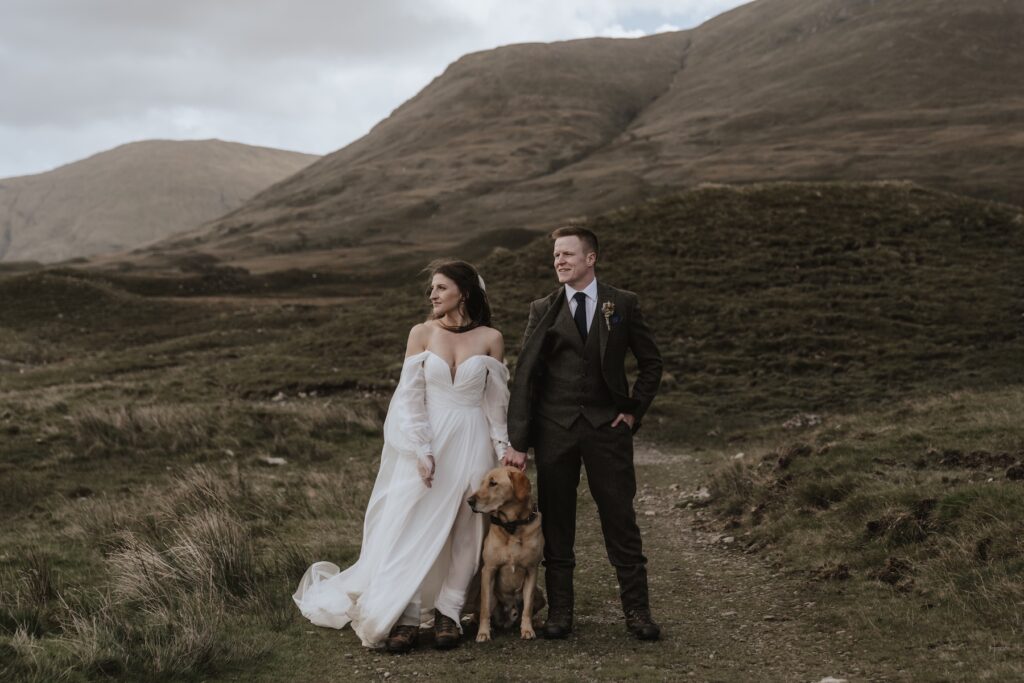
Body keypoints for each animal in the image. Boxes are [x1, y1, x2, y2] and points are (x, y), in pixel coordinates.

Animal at [464, 464, 544, 643]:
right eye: (482, 482)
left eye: (493, 483)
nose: (469, 501)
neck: (512, 526)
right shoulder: (489, 570)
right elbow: (485, 609)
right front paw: (483, 633)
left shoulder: (532, 570)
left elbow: (528, 607)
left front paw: (527, 629)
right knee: (482, 610)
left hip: (540, 593)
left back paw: (536, 621)